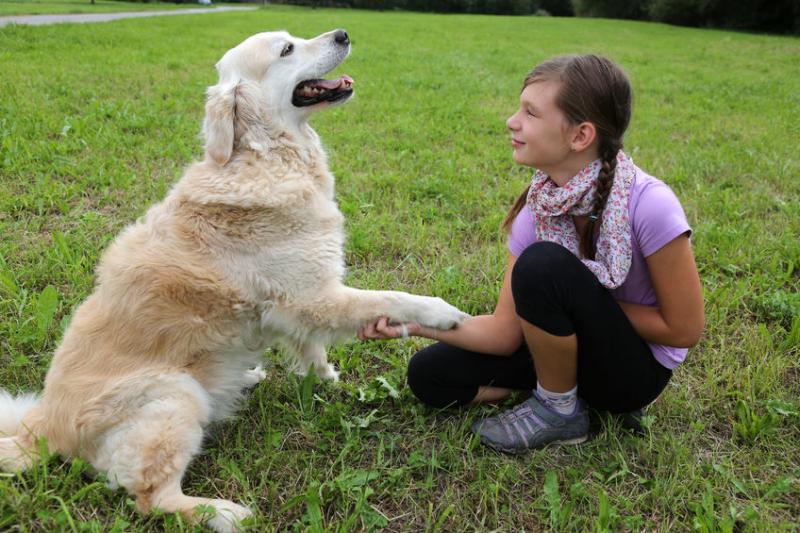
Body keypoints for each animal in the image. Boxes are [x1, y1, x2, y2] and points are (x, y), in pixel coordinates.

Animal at [0, 30, 466, 532]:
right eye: (287, 50)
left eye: (296, 37)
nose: (343, 34)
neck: (267, 156)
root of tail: (45, 427)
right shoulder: (316, 296)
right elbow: (393, 297)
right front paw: (444, 314)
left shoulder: (293, 304)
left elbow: (312, 348)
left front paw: (327, 379)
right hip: (174, 396)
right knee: (151, 497)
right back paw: (224, 512)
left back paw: (249, 378)